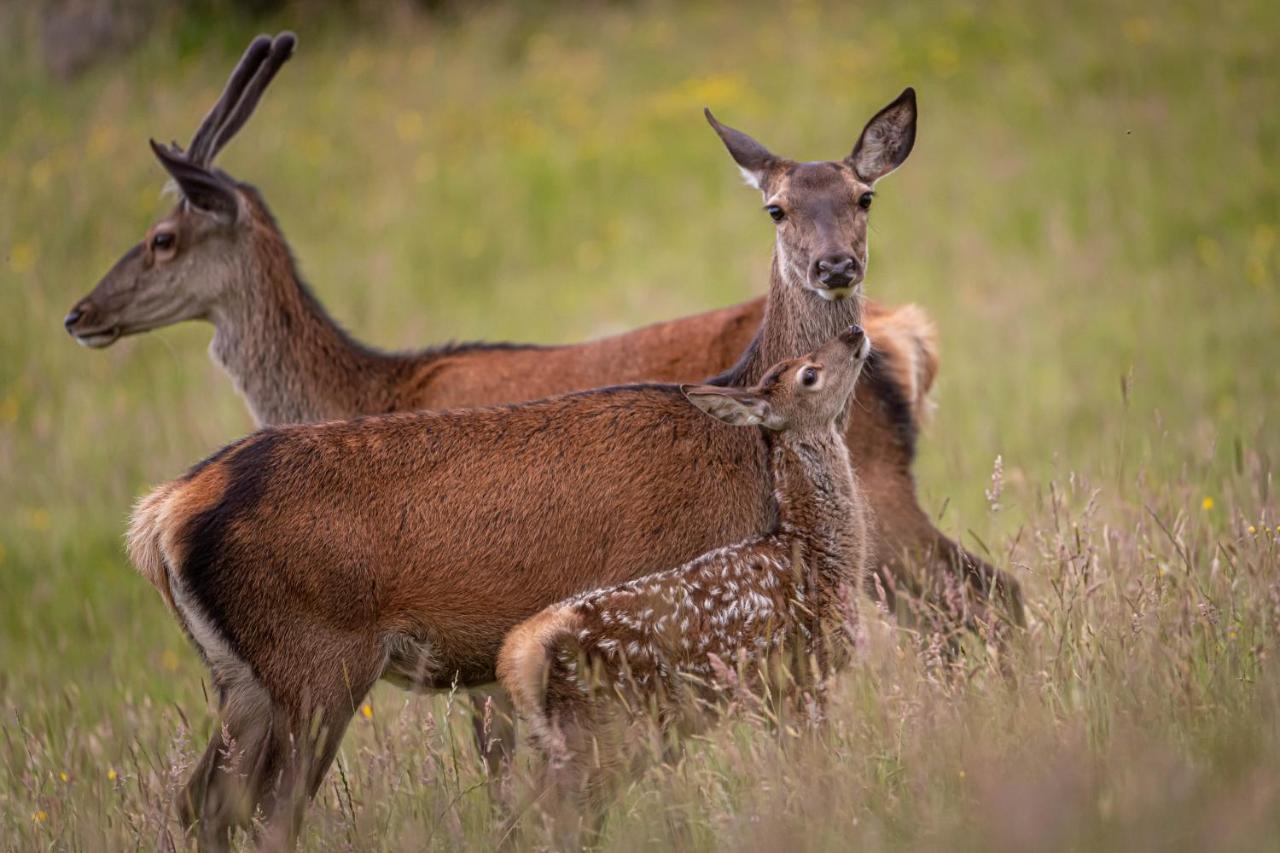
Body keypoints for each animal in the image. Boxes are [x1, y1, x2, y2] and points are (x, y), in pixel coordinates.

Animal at [494, 325, 875, 835]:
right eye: (808, 374)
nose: (854, 333)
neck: (815, 553)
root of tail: (524, 649)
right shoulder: (801, 674)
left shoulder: (774, 693)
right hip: (607, 724)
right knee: (551, 811)